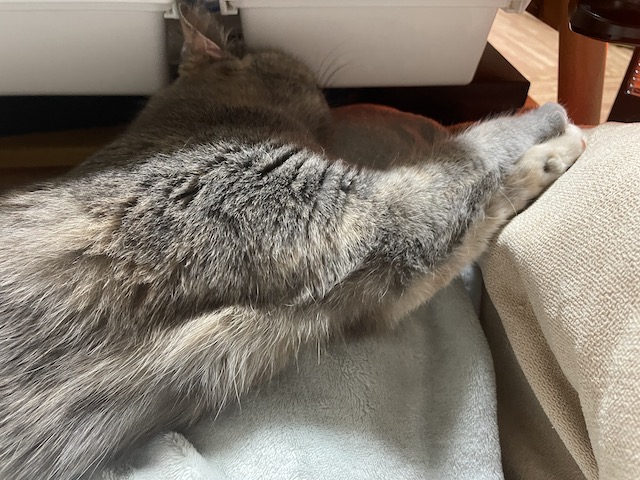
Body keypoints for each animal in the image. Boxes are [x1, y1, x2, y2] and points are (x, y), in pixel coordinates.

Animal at [0, 4, 585, 479]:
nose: (333, 97)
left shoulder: (373, 296)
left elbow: (479, 209)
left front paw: (550, 153)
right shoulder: (386, 212)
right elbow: (475, 152)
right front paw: (559, 128)